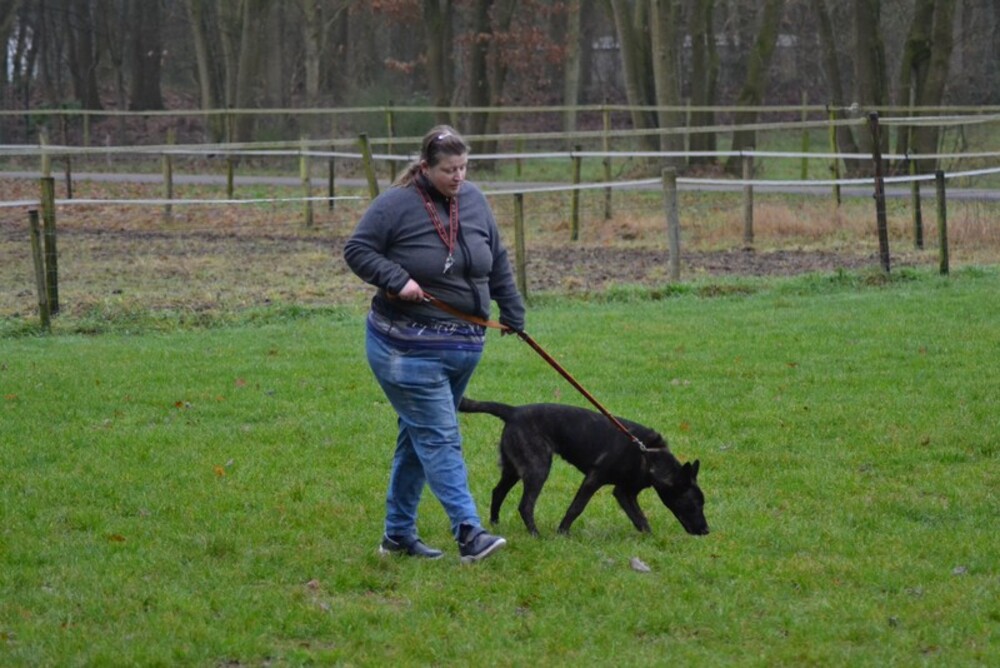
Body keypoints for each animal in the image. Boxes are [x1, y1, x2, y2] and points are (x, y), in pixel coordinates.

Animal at [459, 398, 709, 537]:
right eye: (693, 504)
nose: (706, 531)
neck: (648, 455)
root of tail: (513, 411)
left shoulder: (624, 492)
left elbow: (640, 519)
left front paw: (651, 538)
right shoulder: (593, 479)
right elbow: (575, 508)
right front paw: (562, 533)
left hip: (514, 469)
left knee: (498, 492)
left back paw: (495, 523)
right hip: (538, 468)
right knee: (525, 505)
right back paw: (535, 535)